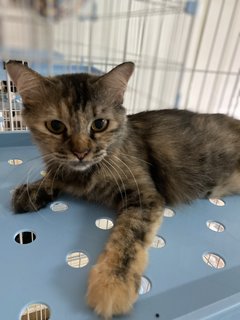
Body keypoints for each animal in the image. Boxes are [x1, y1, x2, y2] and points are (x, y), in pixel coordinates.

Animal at [6, 61, 240, 318]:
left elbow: (127, 239)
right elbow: (53, 175)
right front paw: (32, 191)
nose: (81, 153)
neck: (85, 175)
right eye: (56, 126)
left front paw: (112, 284)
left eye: (99, 124)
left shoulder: (144, 196)